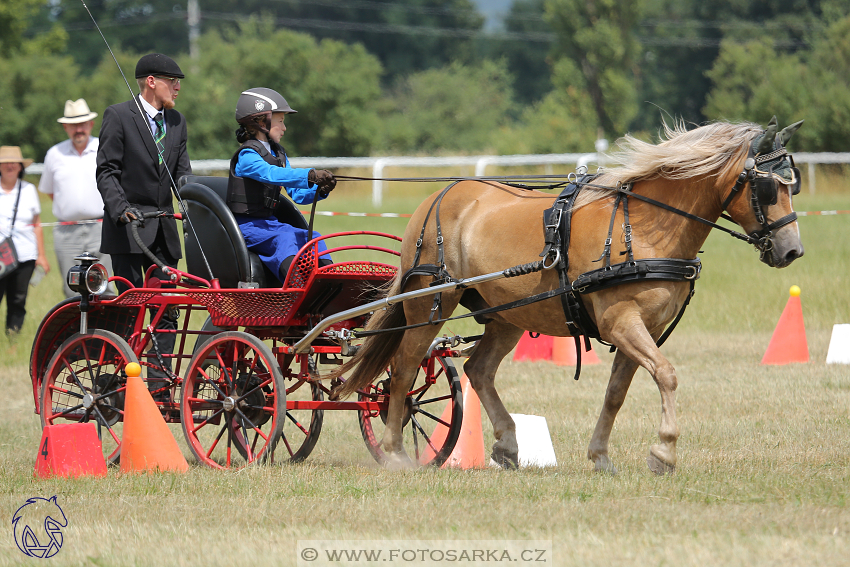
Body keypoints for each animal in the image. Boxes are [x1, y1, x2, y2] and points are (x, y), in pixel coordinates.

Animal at [332, 120, 800, 474]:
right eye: (767, 189)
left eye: (792, 186)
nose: (792, 250)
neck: (644, 226)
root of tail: (438, 195)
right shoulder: (621, 322)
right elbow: (666, 374)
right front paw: (663, 452)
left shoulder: (642, 329)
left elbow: (616, 393)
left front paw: (601, 457)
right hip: (428, 302)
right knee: (404, 368)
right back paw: (395, 452)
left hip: (507, 315)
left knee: (479, 370)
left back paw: (507, 445)